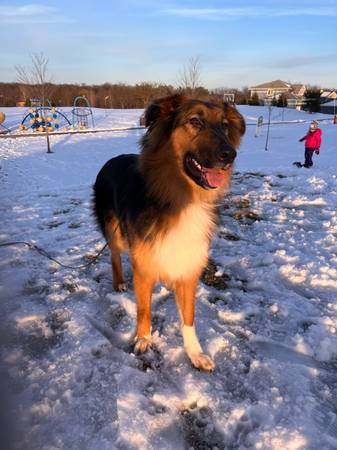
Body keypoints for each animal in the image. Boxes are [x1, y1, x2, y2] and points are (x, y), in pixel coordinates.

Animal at [92, 93, 244, 370]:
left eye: (225, 125)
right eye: (195, 121)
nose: (230, 154)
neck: (180, 198)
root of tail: (112, 159)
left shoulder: (188, 265)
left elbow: (189, 317)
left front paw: (195, 353)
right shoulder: (143, 266)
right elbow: (144, 310)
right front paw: (143, 339)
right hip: (117, 232)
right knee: (114, 253)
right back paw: (119, 282)